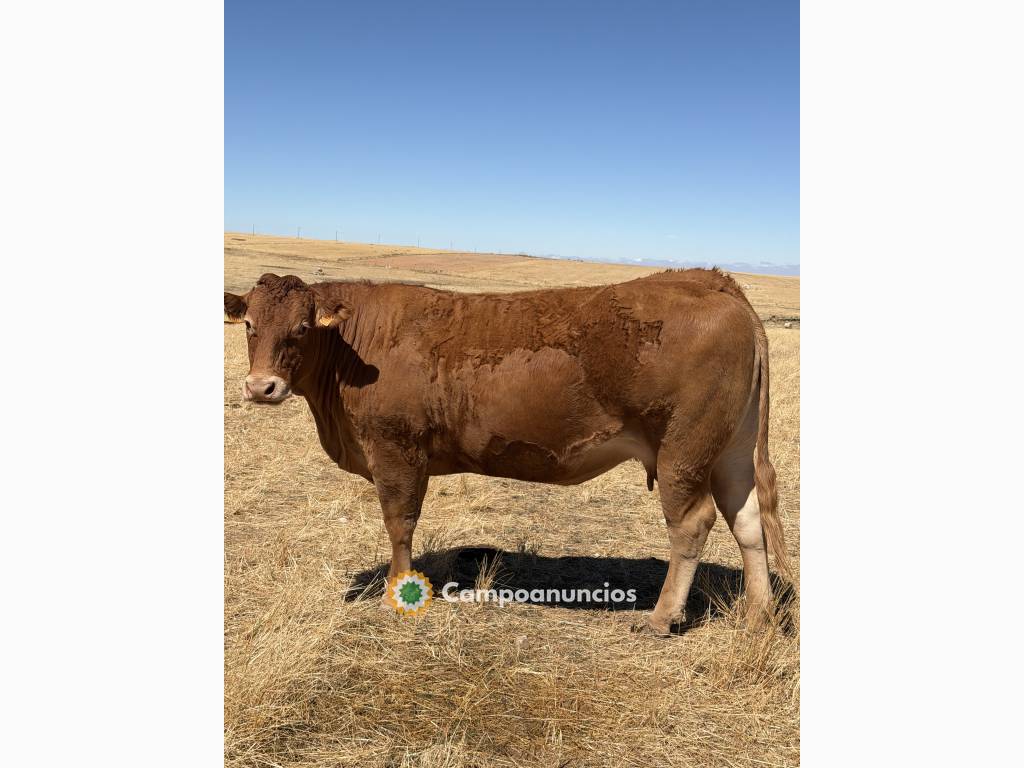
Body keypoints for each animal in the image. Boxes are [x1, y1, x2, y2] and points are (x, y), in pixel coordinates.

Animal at [224, 269, 790, 634]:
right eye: (249, 325)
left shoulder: (395, 450)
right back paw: (757, 614)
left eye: (301, 328)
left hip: (683, 451)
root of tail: (712, 282)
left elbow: (399, 522)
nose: (261, 387)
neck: (353, 350)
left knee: (692, 522)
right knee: (747, 522)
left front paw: (397, 591)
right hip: (731, 453)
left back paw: (661, 617)